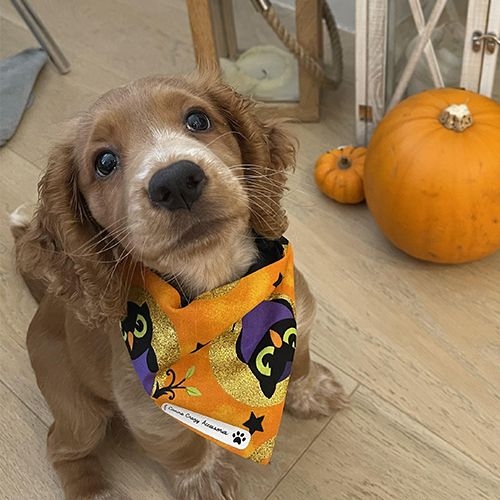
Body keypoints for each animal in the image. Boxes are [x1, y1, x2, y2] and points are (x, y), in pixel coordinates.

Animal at [13, 71, 346, 500]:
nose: (175, 181)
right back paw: (93, 492)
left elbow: (300, 361)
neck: (217, 284)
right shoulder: (146, 408)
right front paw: (202, 477)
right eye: (104, 162)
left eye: (198, 120)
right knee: (60, 446)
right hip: (80, 411)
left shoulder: (298, 320)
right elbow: (180, 445)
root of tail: (44, 304)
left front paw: (310, 389)